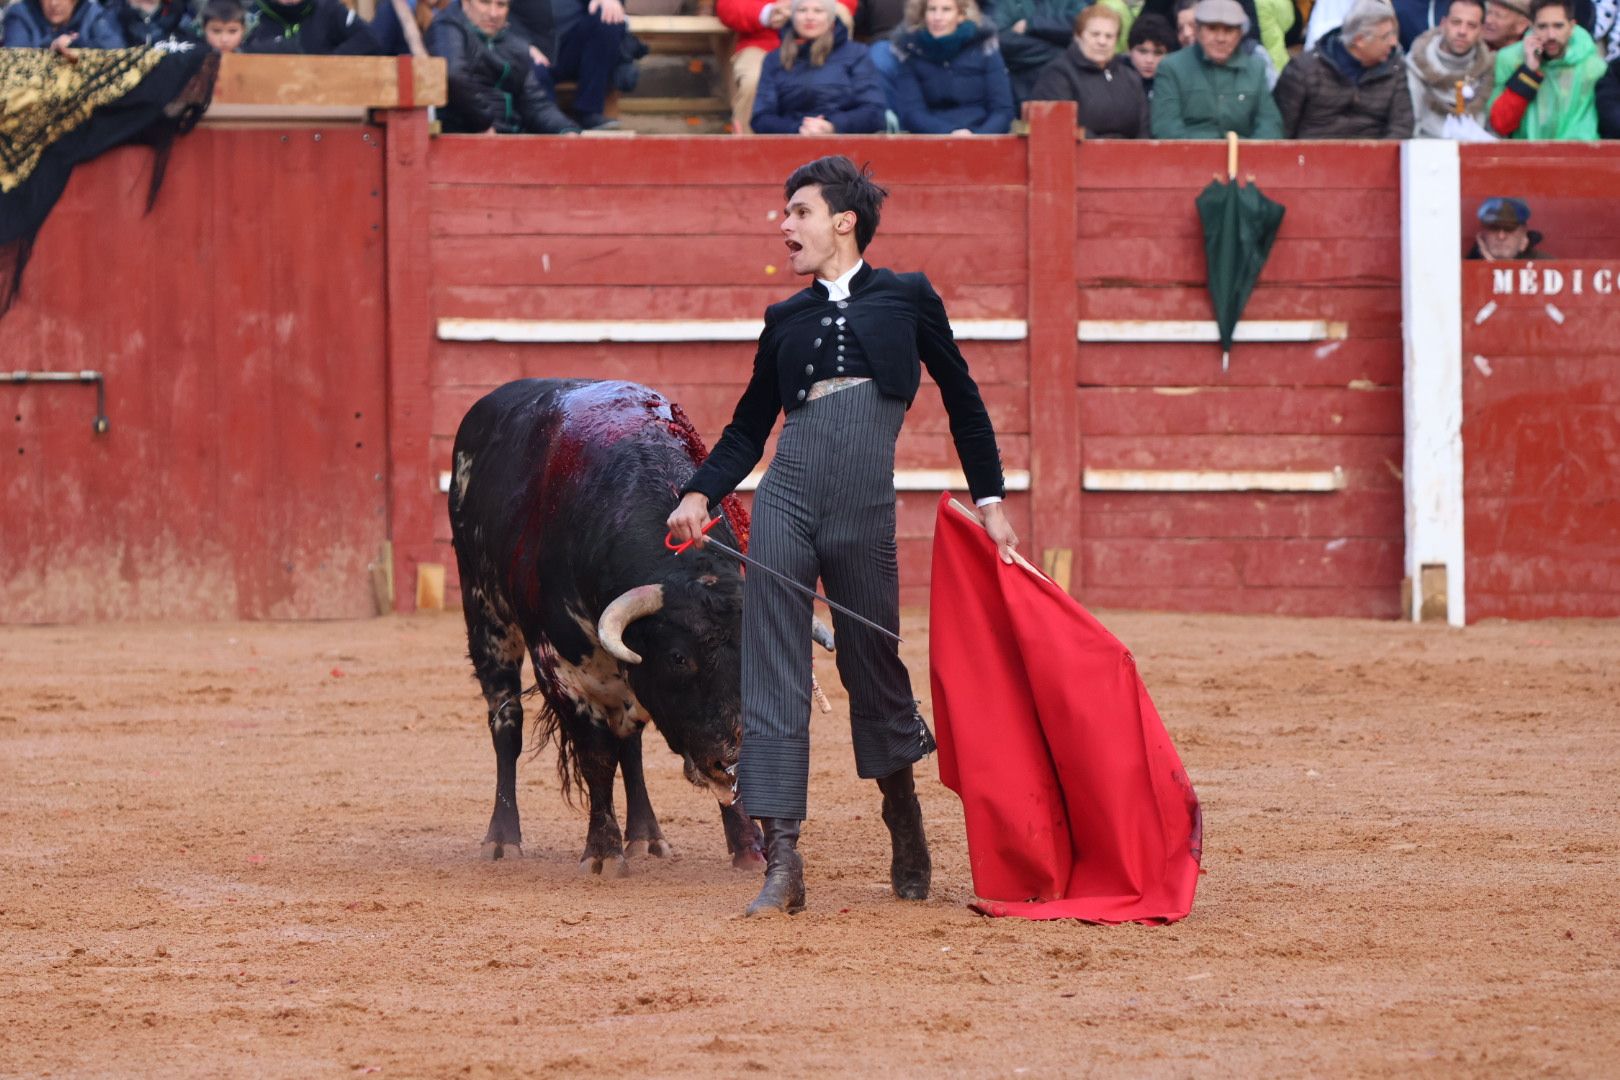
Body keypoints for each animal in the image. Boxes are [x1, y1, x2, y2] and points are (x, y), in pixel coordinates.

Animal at [447, 378, 767, 867]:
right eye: (678, 658)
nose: (728, 757)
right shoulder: (562, 673)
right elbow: (595, 757)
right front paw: (601, 852)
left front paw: (748, 848)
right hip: (486, 616)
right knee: (507, 724)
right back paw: (502, 839)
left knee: (629, 742)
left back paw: (646, 836)